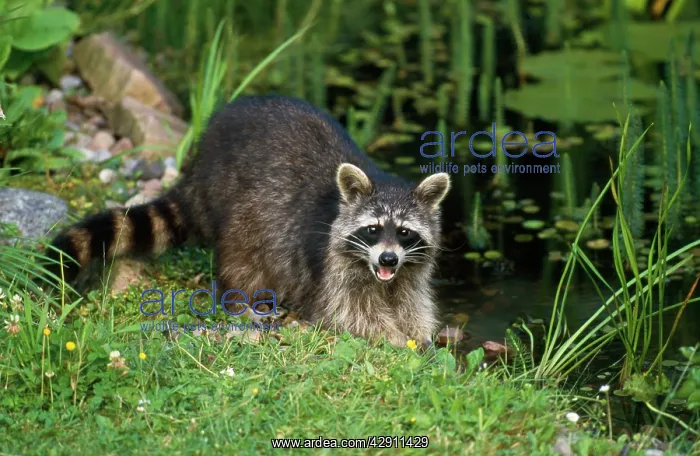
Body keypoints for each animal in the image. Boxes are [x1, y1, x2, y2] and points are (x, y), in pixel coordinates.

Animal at [45, 95, 451, 347]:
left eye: (404, 232)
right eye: (372, 229)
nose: (387, 259)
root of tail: (199, 165)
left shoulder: (408, 269)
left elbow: (413, 299)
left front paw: (419, 332)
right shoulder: (332, 268)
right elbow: (349, 312)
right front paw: (392, 337)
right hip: (242, 209)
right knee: (241, 259)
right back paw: (241, 300)